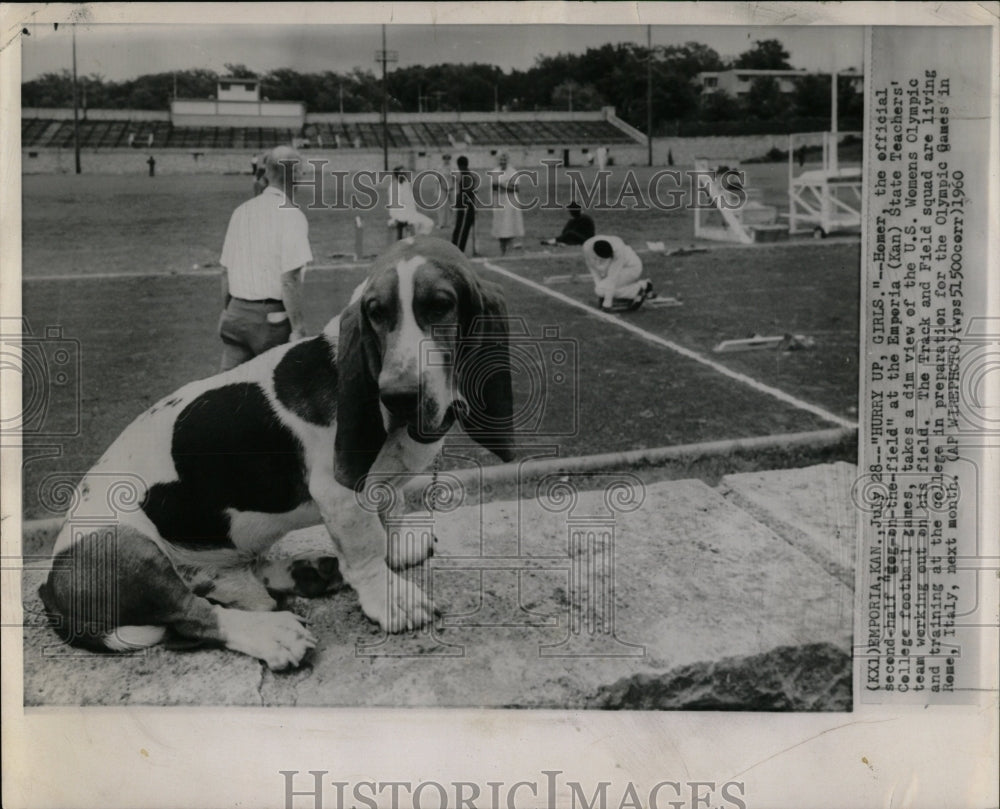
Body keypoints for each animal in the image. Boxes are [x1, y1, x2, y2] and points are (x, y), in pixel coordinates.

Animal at [41, 238, 516, 668]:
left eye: (440, 305)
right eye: (377, 313)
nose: (399, 397)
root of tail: (51, 585)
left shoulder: (380, 486)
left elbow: (389, 510)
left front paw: (398, 545)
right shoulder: (339, 492)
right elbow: (366, 546)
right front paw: (392, 599)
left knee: (229, 585)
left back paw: (309, 572)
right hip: (124, 544)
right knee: (194, 614)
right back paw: (275, 634)